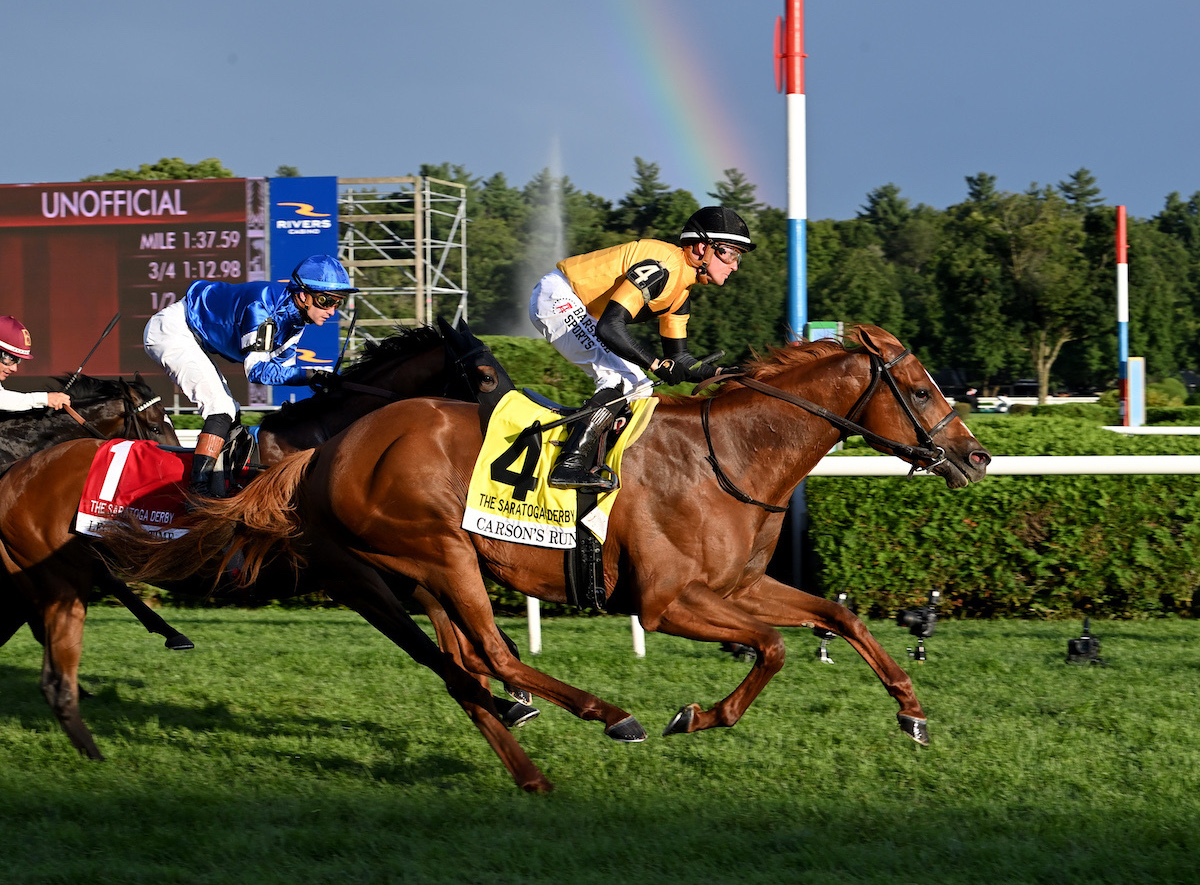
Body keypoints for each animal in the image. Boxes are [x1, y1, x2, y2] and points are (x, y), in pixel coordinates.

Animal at [110, 321, 993, 786]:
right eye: (920, 389)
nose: (977, 456)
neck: (730, 455)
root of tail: (325, 449)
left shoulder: (740, 584)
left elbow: (837, 621)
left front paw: (912, 710)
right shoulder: (668, 601)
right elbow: (773, 647)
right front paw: (694, 713)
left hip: (430, 569)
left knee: (467, 658)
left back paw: (526, 746)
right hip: (431, 554)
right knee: (489, 653)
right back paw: (606, 716)